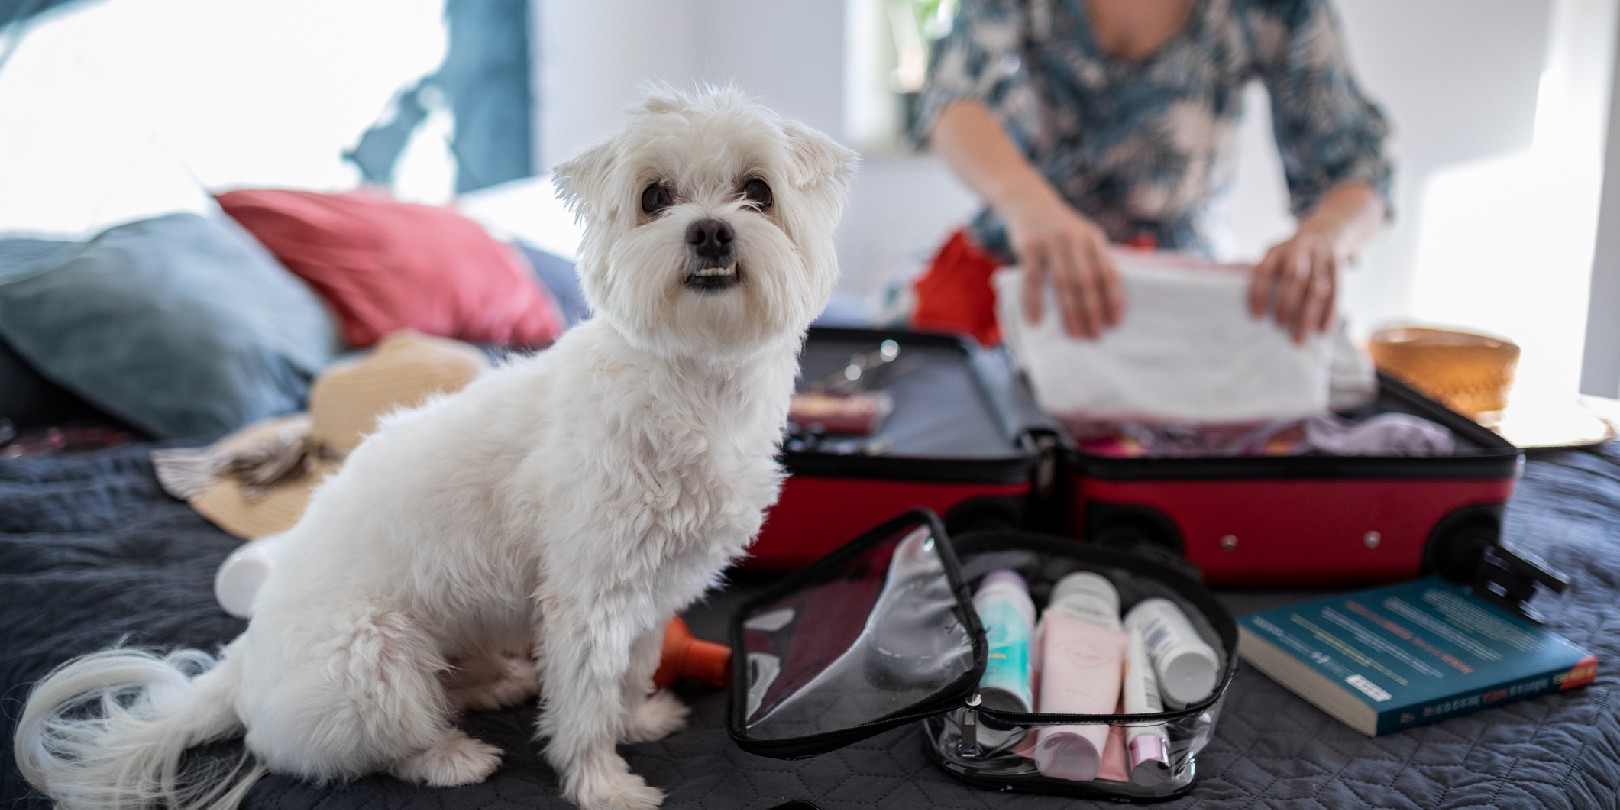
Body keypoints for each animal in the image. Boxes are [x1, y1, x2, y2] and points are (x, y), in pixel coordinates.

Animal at [15, 87, 861, 810]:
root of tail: (240, 668)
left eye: (758, 190)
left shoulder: (652, 590)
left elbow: (628, 674)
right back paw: (454, 756)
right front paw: (603, 784)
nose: (710, 230)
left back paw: (496, 682)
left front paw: (640, 719)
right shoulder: (589, 598)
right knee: (381, 744)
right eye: (655, 197)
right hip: (371, 654)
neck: (692, 382)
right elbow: (585, 702)